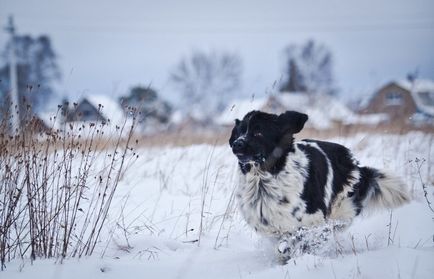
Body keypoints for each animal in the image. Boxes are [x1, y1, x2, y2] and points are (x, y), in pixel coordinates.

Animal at [229, 110, 408, 262]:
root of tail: (356, 164)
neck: (263, 179)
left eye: (258, 132)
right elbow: (281, 245)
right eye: (238, 132)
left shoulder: (312, 222)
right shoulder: (270, 227)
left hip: (342, 209)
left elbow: (305, 239)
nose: (237, 144)